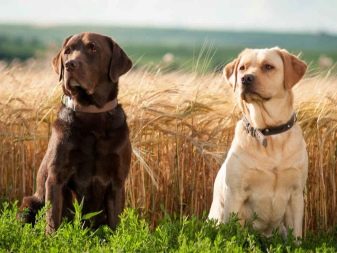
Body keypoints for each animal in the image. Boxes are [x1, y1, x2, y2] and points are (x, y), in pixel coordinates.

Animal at [19, 32, 133, 234]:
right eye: (67, 51)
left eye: (93, 48)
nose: (69, 65)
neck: (91, 114)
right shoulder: (56, 177)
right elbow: (53, 219)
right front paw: (51, 238)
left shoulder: (117, 182)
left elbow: (115, 224)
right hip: (29, 203)